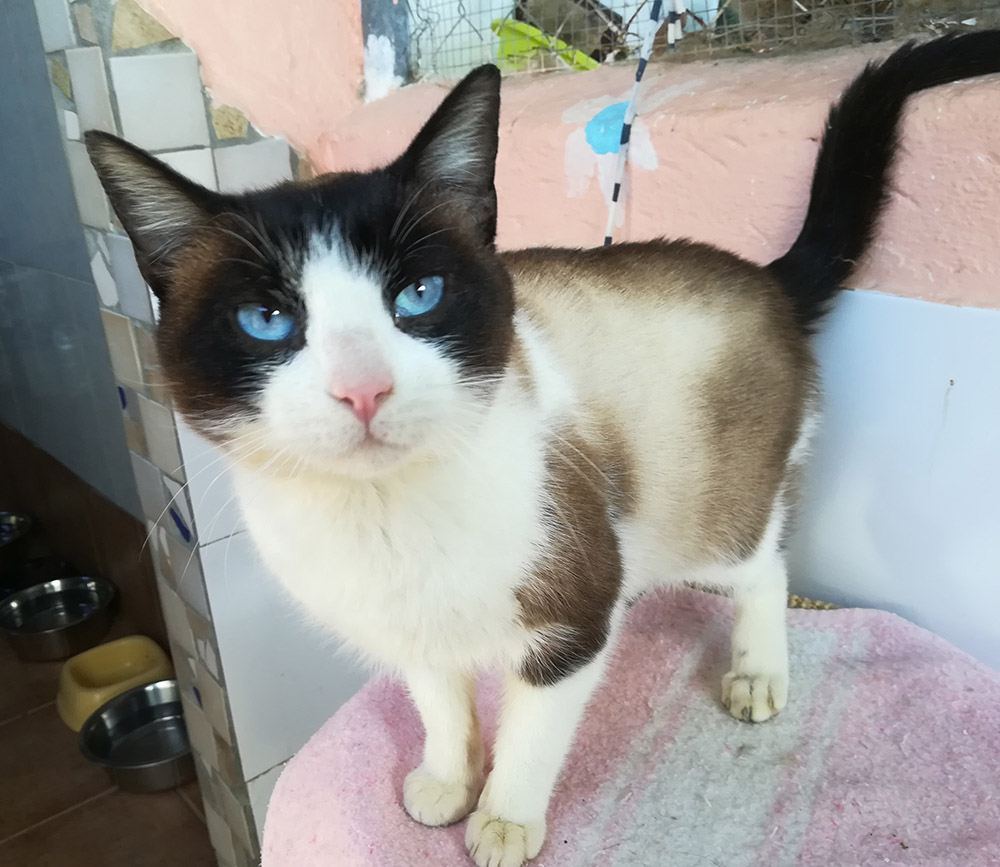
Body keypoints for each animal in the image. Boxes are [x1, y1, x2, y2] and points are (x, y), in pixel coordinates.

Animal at [87, 31, 1000, 867]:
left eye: (418, 296)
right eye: (267, 320)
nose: (363, 389)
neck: (383, 514)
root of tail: (765, 277)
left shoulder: (573, 618)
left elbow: (531, 732)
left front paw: (501, 822)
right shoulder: (417, 630)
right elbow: (441, 708)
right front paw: (448, 784)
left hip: (711, 513)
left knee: (763, 566)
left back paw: (756, 673)